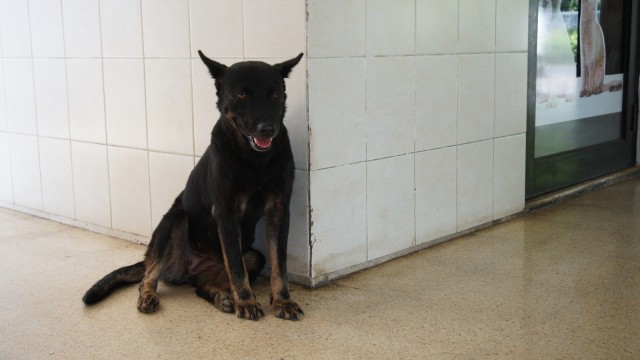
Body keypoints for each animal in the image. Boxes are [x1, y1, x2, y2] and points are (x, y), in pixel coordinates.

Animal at [81, 50, 304, 320]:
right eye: (241, 95)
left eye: (275, 94)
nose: (267, 130)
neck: (254, 161)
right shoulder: (226, 213)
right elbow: (237, 269)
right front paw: (247, 301)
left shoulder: (278, 211)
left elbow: (279, 265)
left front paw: (282, 300)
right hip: (174, 222)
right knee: (147, 278)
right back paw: (149, 296)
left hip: (253, 257)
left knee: (202, 286)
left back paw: (221, 297)